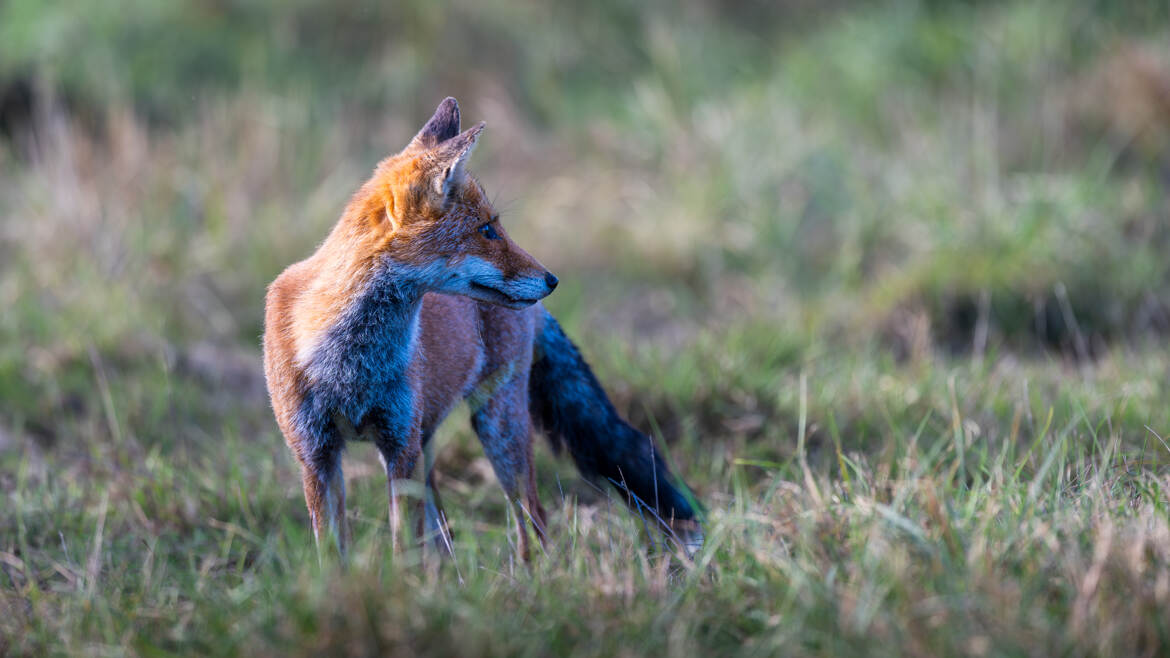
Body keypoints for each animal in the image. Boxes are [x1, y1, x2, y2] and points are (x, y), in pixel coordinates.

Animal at [264, 97, 697, 557]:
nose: (552, 280)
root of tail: (536, 314)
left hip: (498, 425)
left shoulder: (398, 445)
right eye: (487, 230)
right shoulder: (318, 455)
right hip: (436, 443)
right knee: (446, 536)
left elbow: (403, 550)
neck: (348, 365)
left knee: (532, 522)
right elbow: (334, 555)